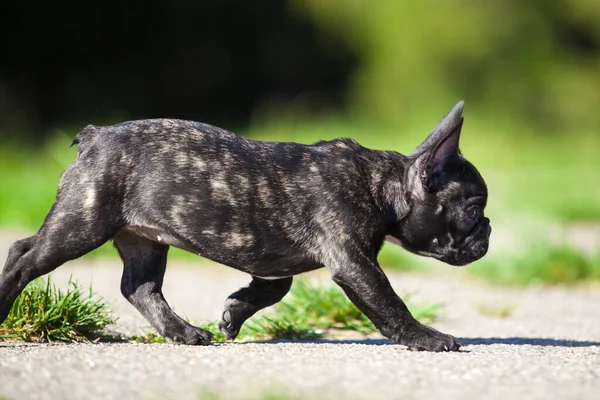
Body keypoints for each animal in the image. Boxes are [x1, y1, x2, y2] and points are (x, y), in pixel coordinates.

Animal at [0, 101, 488, 352]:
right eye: (471, 210)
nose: (487, 230)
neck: (382, 184)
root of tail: (96, 136)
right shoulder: (354, 263)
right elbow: (389, 303)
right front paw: (427, 338)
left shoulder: (283, 262)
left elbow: (275, 288)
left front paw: (233, 313)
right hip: (84, 221)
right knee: (23, 254)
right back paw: (4, 303)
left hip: (142, 238)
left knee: (140, 287)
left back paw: (184, 333)